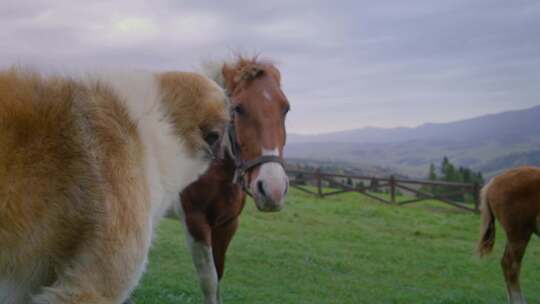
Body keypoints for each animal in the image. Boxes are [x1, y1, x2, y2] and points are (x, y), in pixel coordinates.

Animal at [174, 57, 292, 304]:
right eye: (238, 108)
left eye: (285, 108)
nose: (273, 190)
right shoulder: (195, 223)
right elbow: (209, 281)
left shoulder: (227, 224)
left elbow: (218, 276)